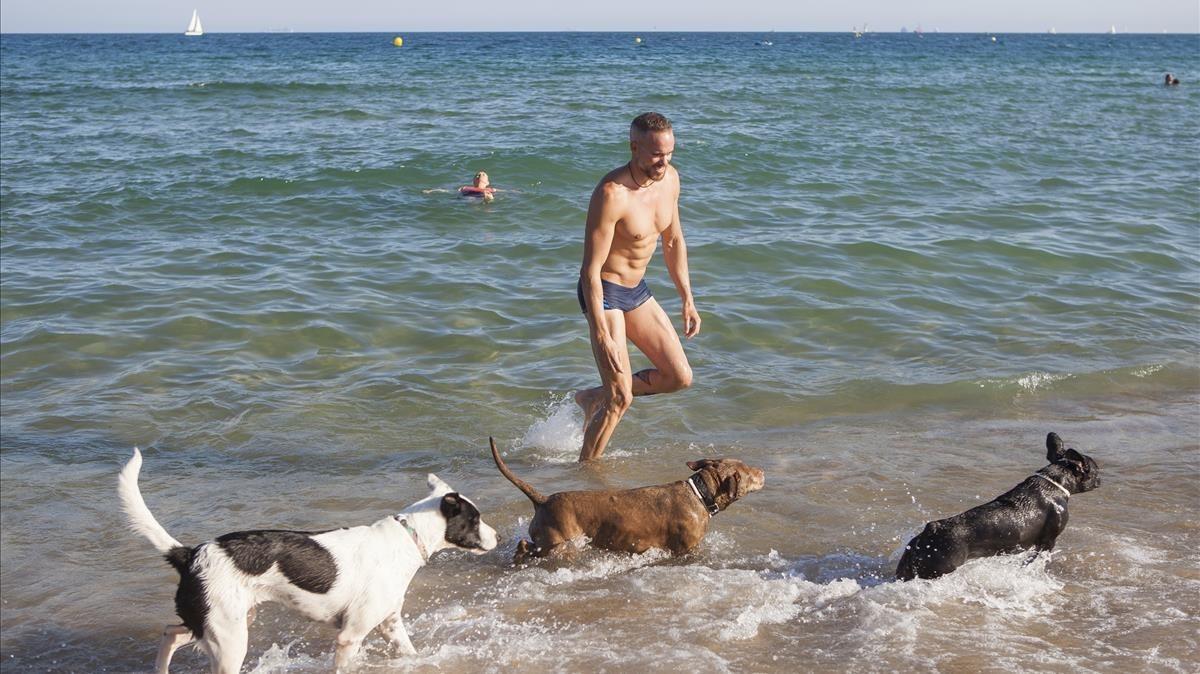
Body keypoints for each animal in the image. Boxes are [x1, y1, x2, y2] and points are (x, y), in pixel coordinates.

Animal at [115, 446, 496, 671]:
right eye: (476, 519)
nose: (500, 537)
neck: (406, 536)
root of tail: (190, 553)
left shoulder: (390, 624)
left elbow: (411, 653)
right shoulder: (349, 637)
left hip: (221, 622)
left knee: (169, 633)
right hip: (230, 640)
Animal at [489, 438, 763, 558]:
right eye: (748, 471)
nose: (762, 471)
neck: (700, 494)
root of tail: (543, 500)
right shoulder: (685, 549)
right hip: (558, 541)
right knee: (527, 547)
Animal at [897, 431, 1099, 580]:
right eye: (1096, 469)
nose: (1100, 478)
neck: (1055, 482)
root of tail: (931, 531)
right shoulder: (1047, 542)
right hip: (939, 569)